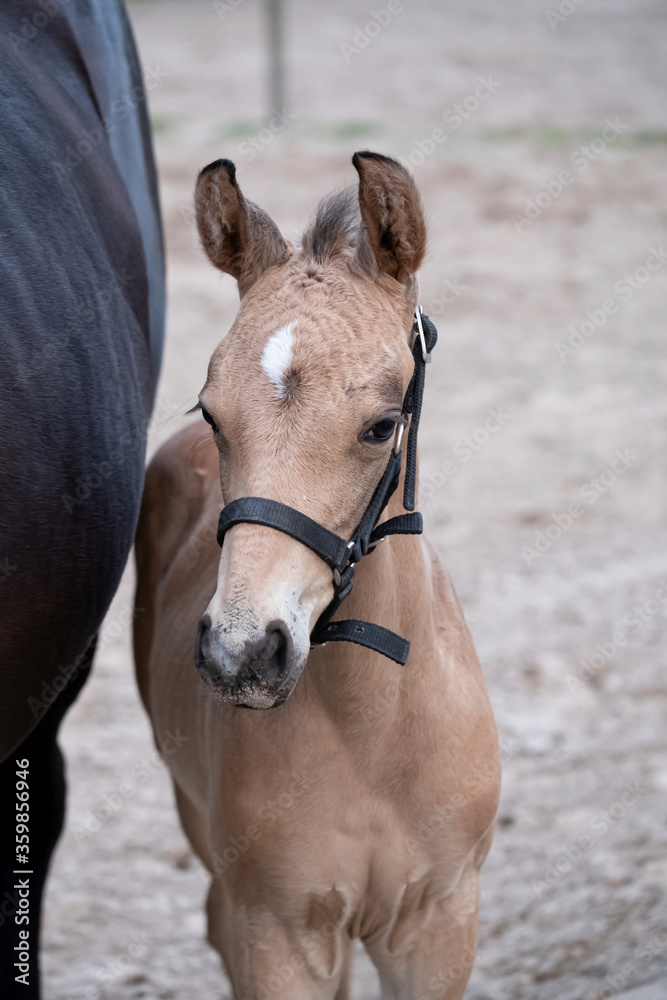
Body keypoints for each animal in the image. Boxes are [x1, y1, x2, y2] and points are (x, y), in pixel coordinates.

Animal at [134, 151, 499, 999]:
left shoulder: (438, 923)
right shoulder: (280, 929)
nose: (240, 653)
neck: (375, 733)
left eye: (381, 424)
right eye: (210, 413)